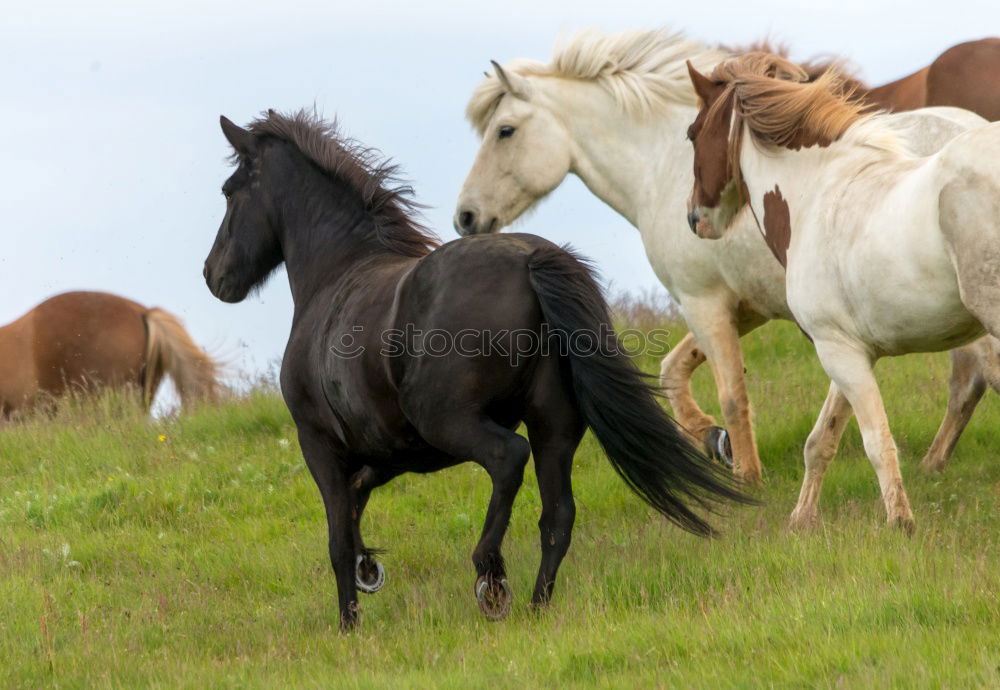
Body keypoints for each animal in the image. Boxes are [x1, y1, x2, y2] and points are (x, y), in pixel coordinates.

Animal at [205, 110, 752, 632]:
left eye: (230, 191)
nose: (214, 276)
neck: (337, 276)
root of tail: (532, 259)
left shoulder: (318, 443)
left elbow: (338, 539)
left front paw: (348, 623)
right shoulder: (394, 448)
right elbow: (360, 495)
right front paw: (369, 570)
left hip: (455, 422)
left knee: (509, 459)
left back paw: (491, 578)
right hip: (552, 425)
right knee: (557, 516)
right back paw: (535, 607)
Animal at [458, 28, 988, 484]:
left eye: (505, 131)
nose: (465, 216)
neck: (660, 166)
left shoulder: (703, 302)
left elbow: (732, 393)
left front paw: (745, 473)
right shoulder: (745, 308)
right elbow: (674, 371)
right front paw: (713, 439)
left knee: (972, 378)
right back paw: (933, 464)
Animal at [688, 53, 1000, 528]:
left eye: (692, 134)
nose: (694, 218)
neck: (816, 195)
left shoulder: (838, 351)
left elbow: (876, 442)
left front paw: (900, 524)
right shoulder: (848, 349)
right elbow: (821, 441)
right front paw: (801, 520)